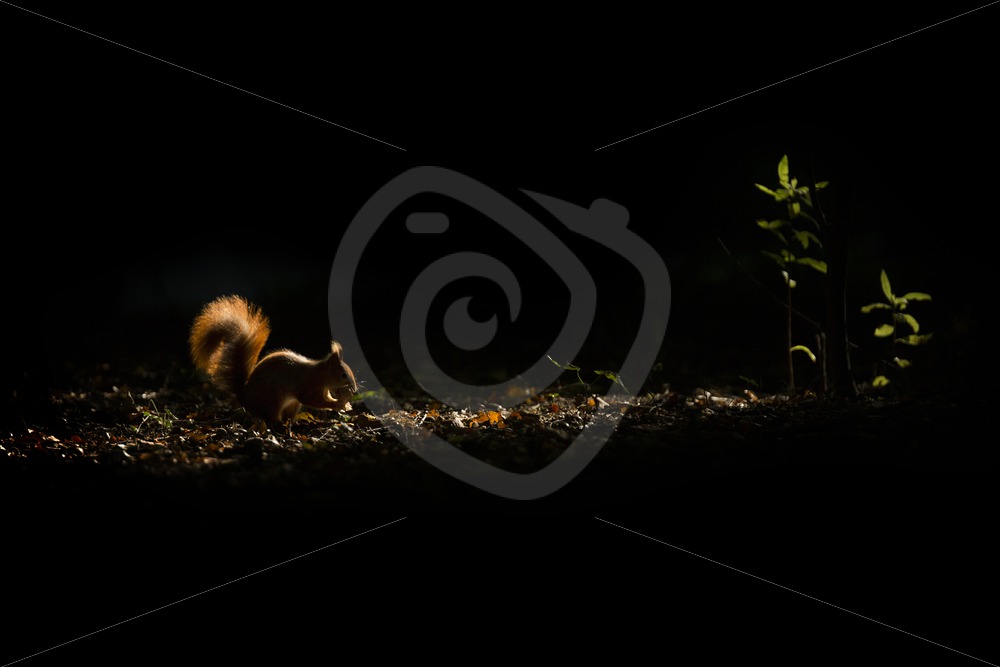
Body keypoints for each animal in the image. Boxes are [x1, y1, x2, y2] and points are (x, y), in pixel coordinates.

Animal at [189, 295, 358, 424]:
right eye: (343, 375)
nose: (355, 390)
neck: (321, 374)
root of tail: (246, 397)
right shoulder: (308, 385)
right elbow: (312, 400)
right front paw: (337, 404)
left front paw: (343, 404)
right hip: (274, 397)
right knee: (270, 415)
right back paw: (278, 422)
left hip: (291, 403)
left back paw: (293, 421)